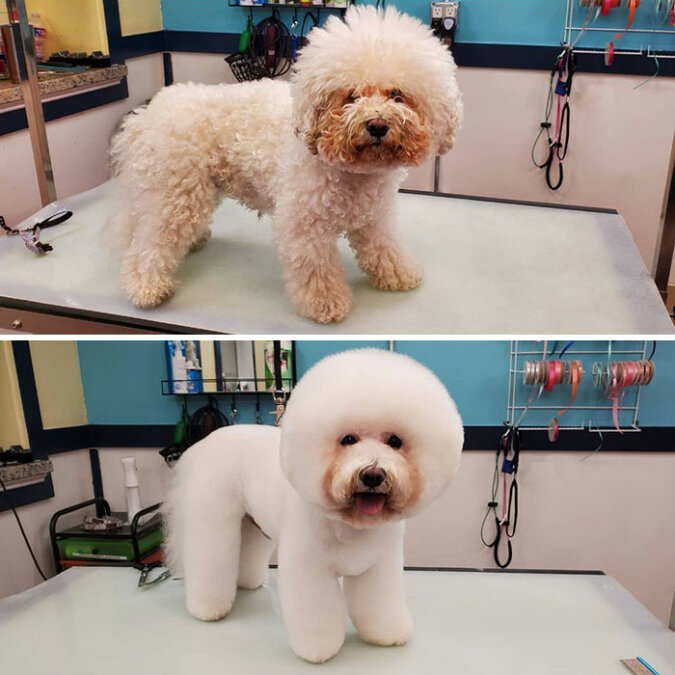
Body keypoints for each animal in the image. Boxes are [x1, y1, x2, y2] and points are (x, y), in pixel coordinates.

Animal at [110, 7, 462, 323]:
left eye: (397, 95)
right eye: (350, 96)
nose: (377, 125)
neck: (353, 172)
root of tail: (149, 113)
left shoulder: (375, 216)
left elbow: (384, 247)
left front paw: (399, 273)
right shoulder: (303, 225)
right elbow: (317, 270)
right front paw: (327, 304)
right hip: (176, 194)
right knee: (150, 243)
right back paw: (147, 287)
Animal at [163, 348, 464, 662]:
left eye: (395, 441)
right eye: (348, 439)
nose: (372, 474)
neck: (351, 523)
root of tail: (205, 443)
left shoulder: (378, 566)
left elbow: (379, 602)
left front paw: (387, 633)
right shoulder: (310, 567)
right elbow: (317, 611)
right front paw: (318, 648)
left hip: (252, 523)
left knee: (247, 549)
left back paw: (247, 582)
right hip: (213, 515)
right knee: (209, 557)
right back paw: (207, 608)